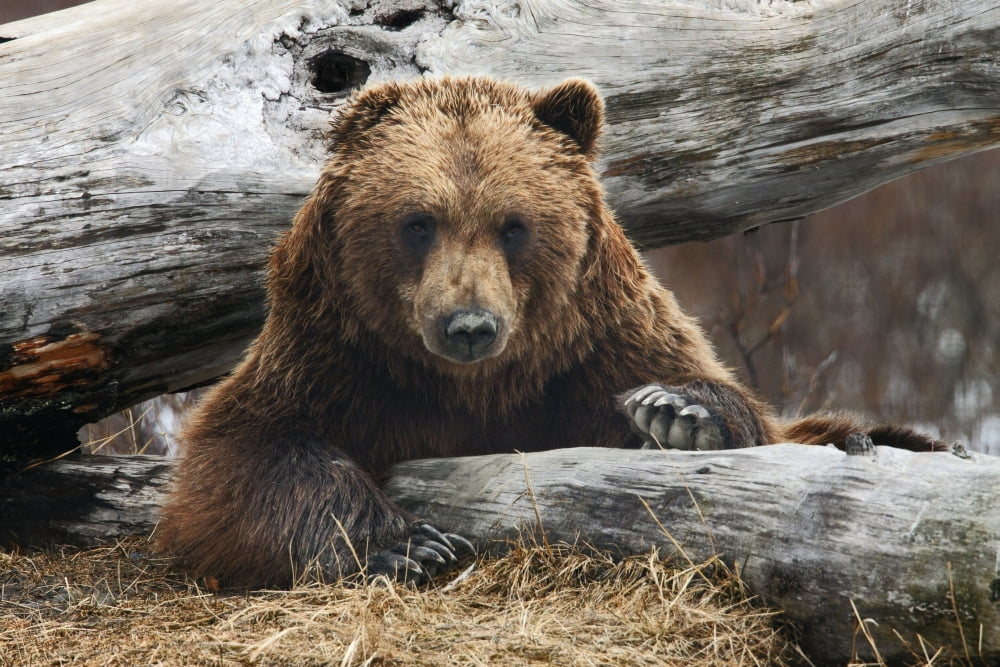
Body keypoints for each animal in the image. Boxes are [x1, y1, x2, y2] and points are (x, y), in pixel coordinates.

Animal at [156, 76, 943, 589]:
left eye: (514, 224)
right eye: (418, 222)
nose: (470, 325)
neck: (472, 388)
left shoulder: (593, 348)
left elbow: (725, 403)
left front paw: (678, 411)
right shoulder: (337, 357)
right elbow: (243, 455)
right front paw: (406, 546)